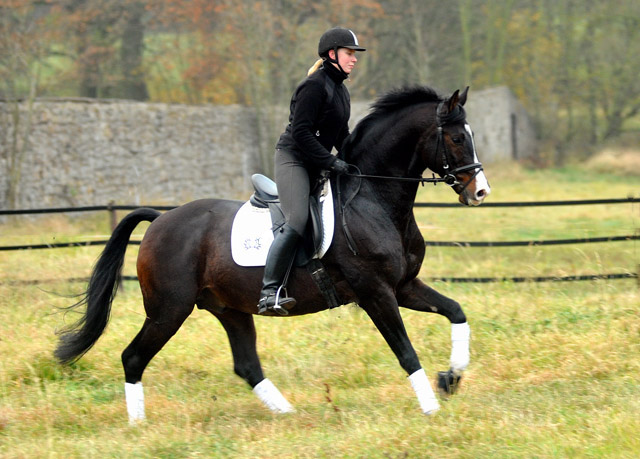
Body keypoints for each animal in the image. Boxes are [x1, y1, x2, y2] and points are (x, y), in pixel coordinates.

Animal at [57, 86, 492, 424]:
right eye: (456, 138)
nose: (480, 192)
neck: (373, 198)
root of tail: (161, 219)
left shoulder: (403, 286)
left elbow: (456, 312)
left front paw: (451, 377)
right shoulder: (375, 293)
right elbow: (405, 351)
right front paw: (432, 407)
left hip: (229, 308)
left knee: (247, 365)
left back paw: (289, 414)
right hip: (169, 309)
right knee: (133, 357)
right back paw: (139, 425)